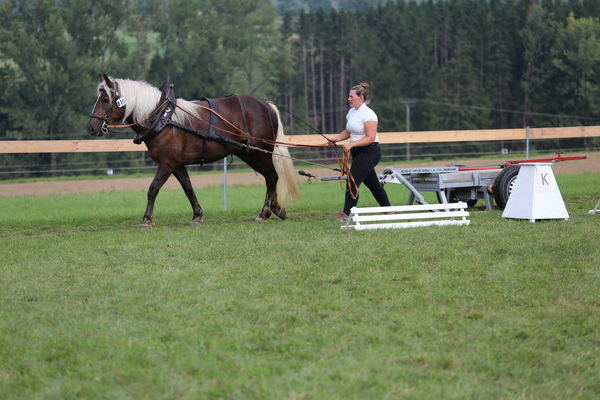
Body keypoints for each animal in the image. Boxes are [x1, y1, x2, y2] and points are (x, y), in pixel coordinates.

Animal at [85, 73, 300, 227]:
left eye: (105, 99)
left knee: (272, 177)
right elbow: (188, 188)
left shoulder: (166, 164)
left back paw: (266, 212)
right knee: (270, 177)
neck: (161, 117)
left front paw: (146, 219)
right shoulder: (177, 164)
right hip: (249, 152)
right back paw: (277, 209)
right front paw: (197, 215)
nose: (92, 127)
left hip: (259, 152)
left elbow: (153, 189)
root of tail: (267, 105)